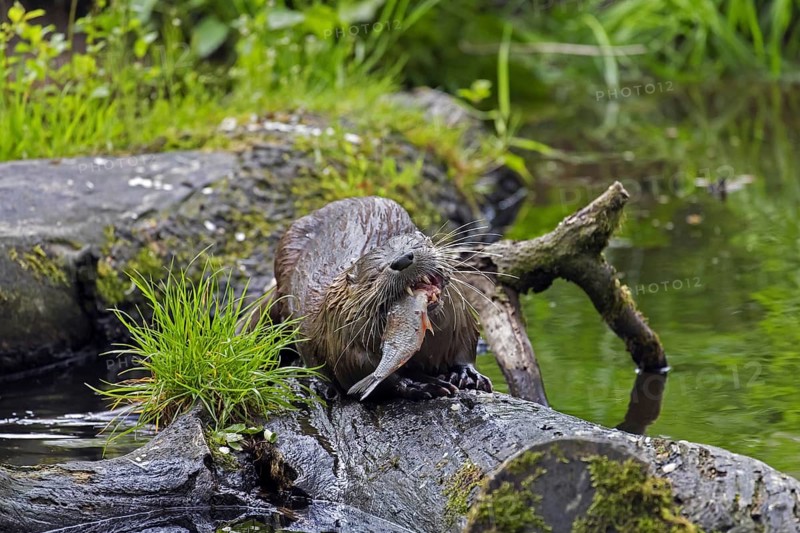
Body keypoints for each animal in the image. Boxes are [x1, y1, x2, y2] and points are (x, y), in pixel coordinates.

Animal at [271, 196, 492, 400]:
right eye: (376, 273)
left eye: (416, 246)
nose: (402, 259)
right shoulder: (347, 348)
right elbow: (367, 375)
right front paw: (423, 384)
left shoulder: (462, 322)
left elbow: (465, 350)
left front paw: (468, 375)